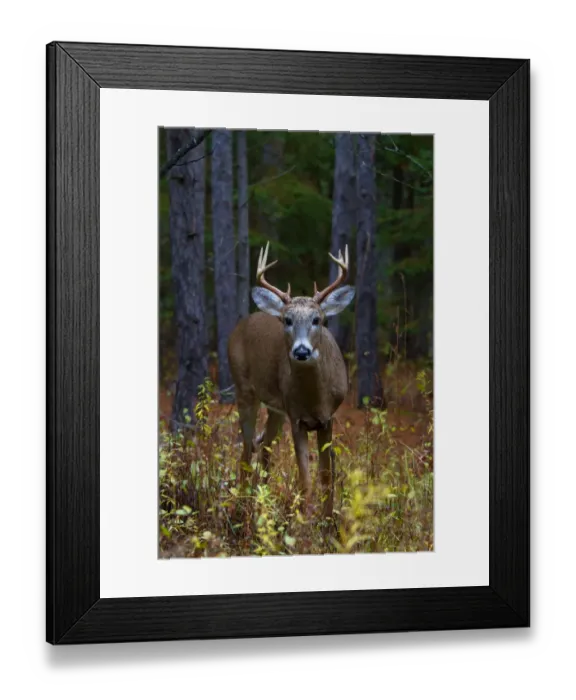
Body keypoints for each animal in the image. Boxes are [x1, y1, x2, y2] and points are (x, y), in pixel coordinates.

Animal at [227, 242, 355, 518]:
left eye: (318, 319)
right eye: (287, 320)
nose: (302, 351)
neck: (315, 399)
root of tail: (243, 323)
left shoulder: (328, 418)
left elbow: (326, 476)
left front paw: (328, 519)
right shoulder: (297, 418)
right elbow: (305, 479)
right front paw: (305, 520)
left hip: (276, 408)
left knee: (264, 450)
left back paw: (261, 503)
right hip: (245, 390)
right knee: (246, 451)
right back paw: (242, 509)